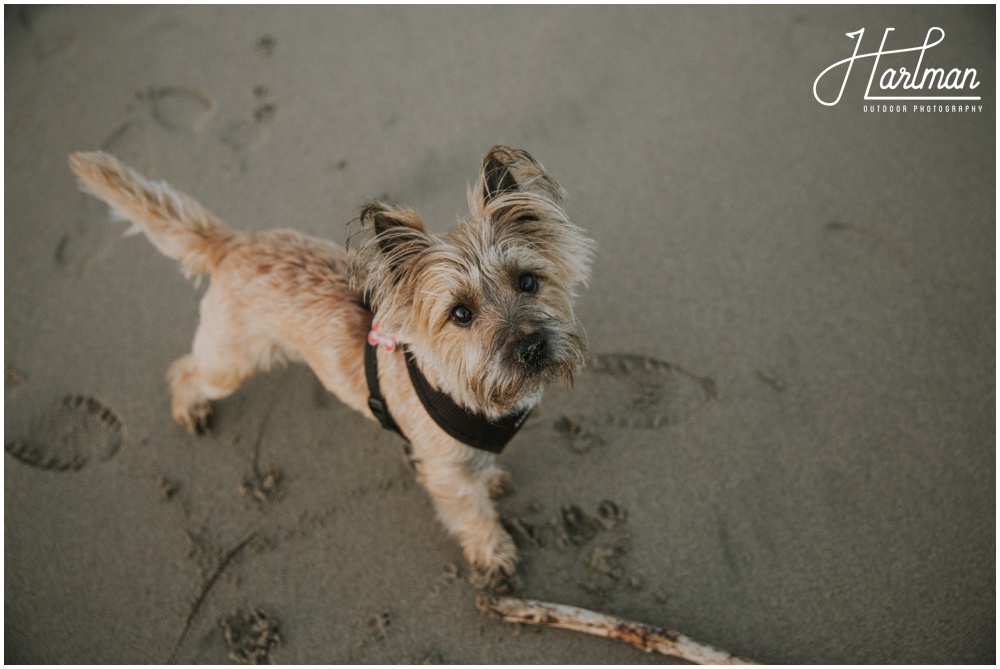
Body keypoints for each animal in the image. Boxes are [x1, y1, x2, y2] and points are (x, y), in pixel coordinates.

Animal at [72, 145, 600, 580]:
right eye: (460, 314)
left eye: (528, 282)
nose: (532, 348)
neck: (461, 385)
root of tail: (233, 243)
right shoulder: (447, 474)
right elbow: (471, 514)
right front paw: (493, 553)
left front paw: (491, 481)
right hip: (230, 362)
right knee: (187, 369)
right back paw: (189, 407)